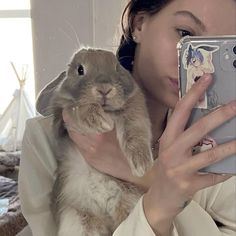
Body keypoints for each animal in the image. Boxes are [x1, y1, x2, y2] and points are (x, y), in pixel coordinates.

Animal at [49, 48, 153, 236]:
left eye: (117, 67)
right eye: (80, 69)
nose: (104, 89)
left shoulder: (135, 107)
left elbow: (136, 130)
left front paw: (142, 165)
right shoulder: (61, 114)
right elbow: (77, 108)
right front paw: (100, 121)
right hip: (79, 222)